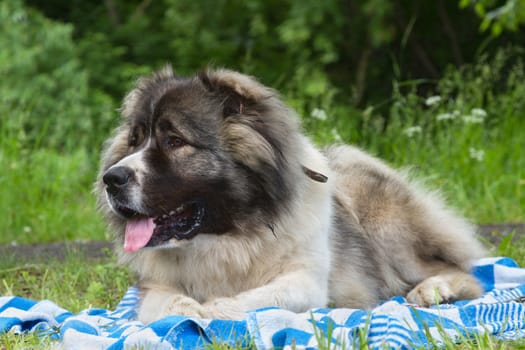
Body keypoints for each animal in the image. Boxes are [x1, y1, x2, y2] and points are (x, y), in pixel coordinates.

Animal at [97, 65, 484, 322]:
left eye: (175, 141)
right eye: (134, 141)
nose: (110, 179)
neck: (228, 236)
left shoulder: (304, 282)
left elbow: (248, 300)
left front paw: (210, 311)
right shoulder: (154, 288)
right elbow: (164, 306)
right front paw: (188, 309)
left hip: (382, 219)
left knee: (460, 269)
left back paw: (433, 290)